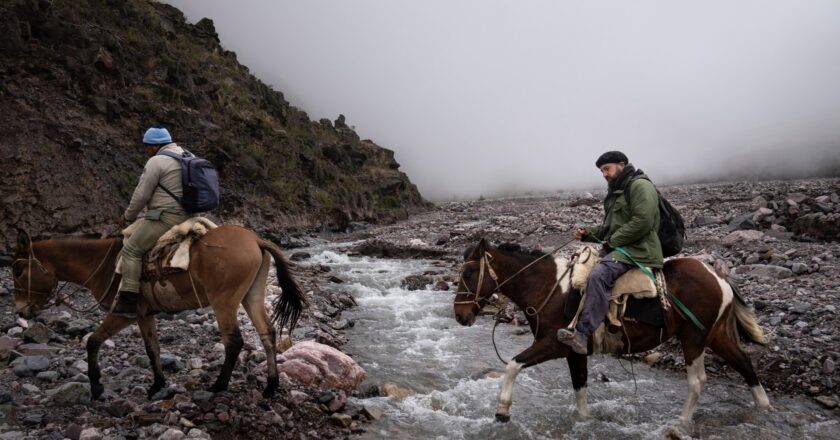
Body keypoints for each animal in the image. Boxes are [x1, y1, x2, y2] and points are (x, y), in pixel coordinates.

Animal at [11, 229, 308, 400]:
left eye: (18, 271)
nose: (21, 310)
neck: (102, 265)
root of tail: (256, 239)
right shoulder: (144, 315)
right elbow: (152, 347)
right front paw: (158, 385)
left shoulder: (123, 313)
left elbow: (93, 341)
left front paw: (96, 386)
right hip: (251, 295)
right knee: (267, 333)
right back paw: (270, 385)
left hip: (223, 301)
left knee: (233, 341)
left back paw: (218, 385)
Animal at [456, 239, 772, 424]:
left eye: (468, 274)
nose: (460, 316)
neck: (550, 287)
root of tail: (719, 277)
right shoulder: (575, 351)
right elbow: (580, 390)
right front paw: (585, 422)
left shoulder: (553, 345)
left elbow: (512, 364)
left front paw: (502, 410)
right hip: (716, 336)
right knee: (745, 365)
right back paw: (764, 409)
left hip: (694, 337)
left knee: (698, 382)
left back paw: (681, 423)